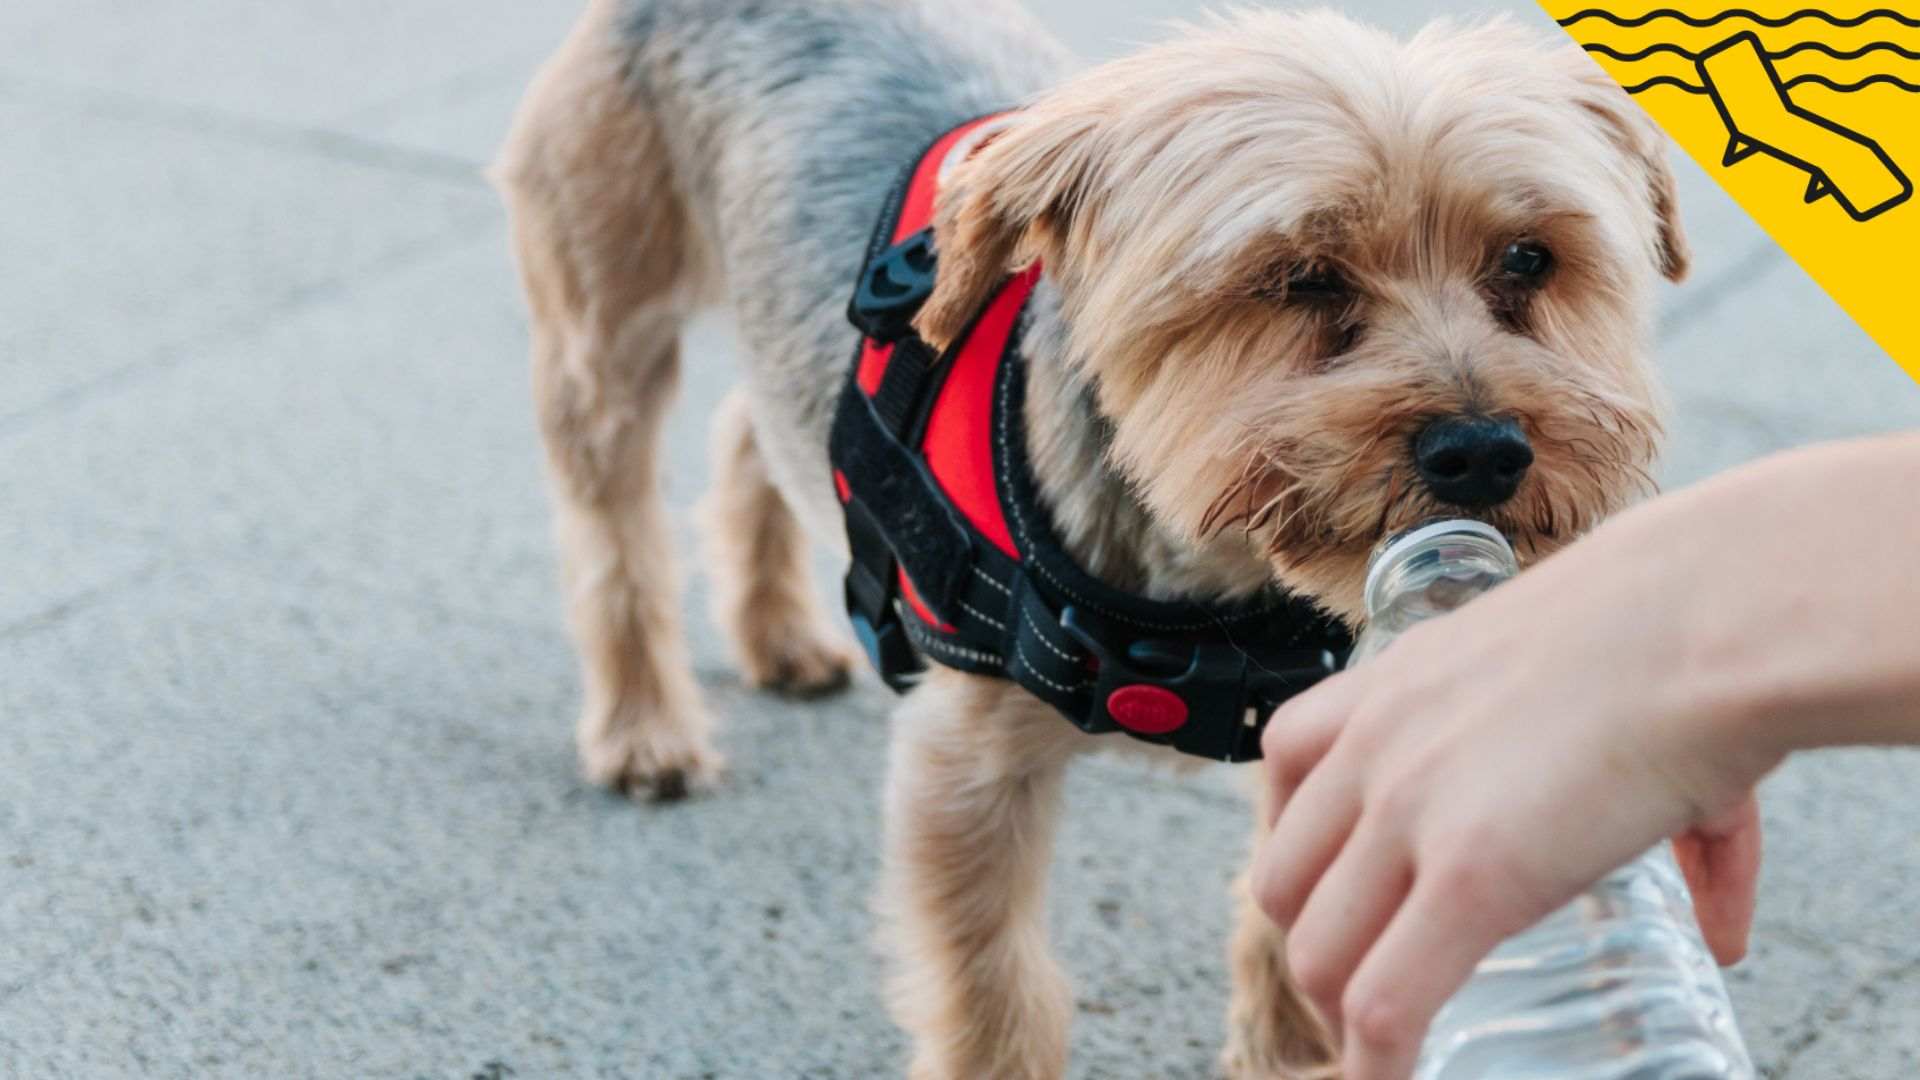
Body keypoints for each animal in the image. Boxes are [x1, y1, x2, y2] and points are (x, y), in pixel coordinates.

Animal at [491, 4, 1681, 1068]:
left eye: (1527, 260)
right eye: (1300, 279)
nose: (1482, 450)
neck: (1217, 577)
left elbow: (1299, 908)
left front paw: (1296, 1043)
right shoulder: (966, 762)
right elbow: (993, 990)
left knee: (755, 429)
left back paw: (777, 635)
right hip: (605, 321)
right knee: (613, 531)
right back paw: (645, 730)